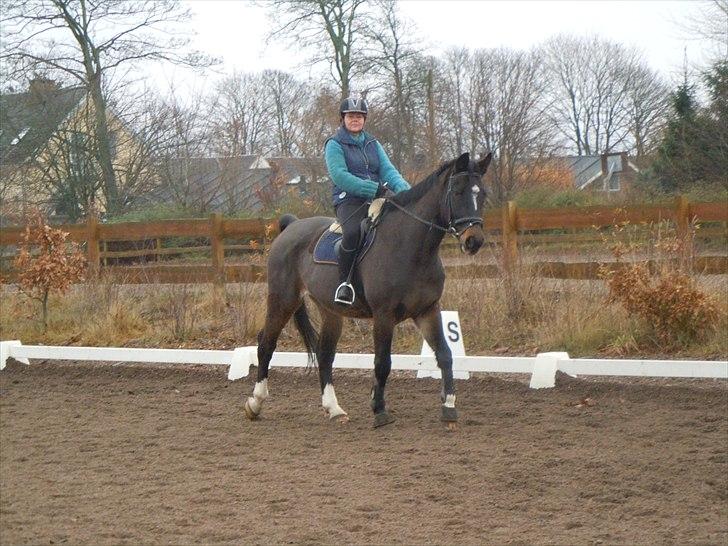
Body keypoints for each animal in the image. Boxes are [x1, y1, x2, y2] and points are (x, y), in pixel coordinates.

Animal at [242, 151, 492, 428]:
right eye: (457, 192)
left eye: (482, 193)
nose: (474, 241)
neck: (411, 248)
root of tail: (292, 226)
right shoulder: (384, 315)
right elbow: (383, 362)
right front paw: (379, 409)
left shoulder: (427, 310)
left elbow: (445, 354)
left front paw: (448, 406)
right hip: (283, 300)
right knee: (266, 343)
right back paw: (255, 403)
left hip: (330, 311)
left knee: (325, 354)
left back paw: (334, 409)